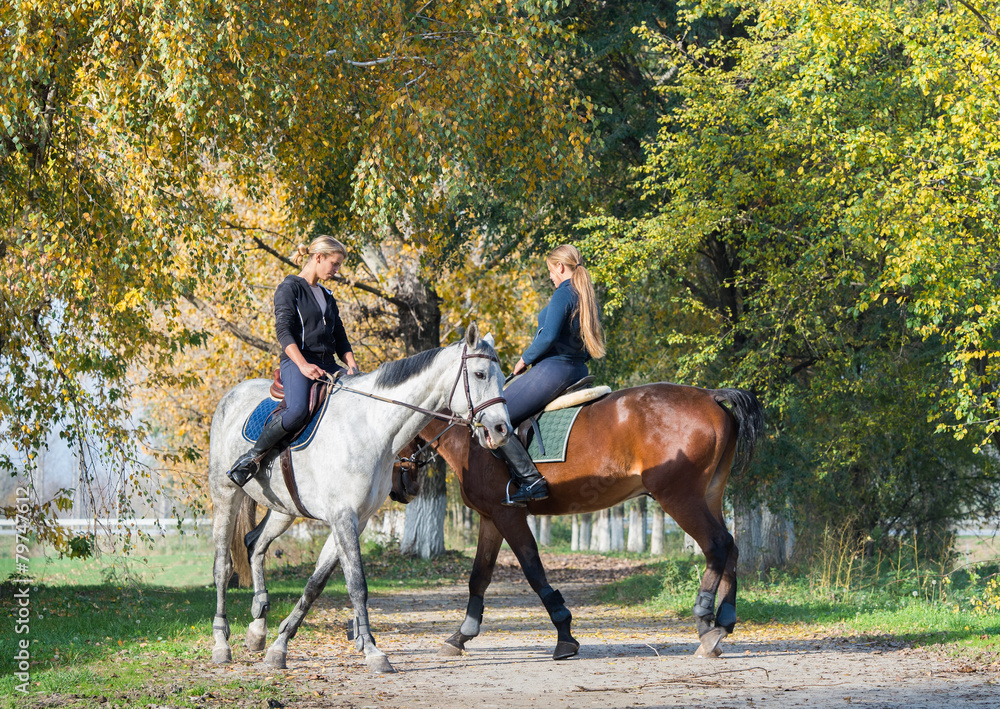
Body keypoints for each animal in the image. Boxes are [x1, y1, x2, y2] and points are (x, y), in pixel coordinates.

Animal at [208, 324, 512, 668]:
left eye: (502, 376)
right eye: (479, 374)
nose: (501, 430)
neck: (372, 427)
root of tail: (233, 394)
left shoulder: (357, 520)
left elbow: (316, 584)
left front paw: (279, 645)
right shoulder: (344, 517)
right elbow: (357, 584)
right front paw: (372, 650)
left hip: (283, 509)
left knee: (255, 543)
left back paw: (258, 627)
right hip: (225, 495)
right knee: (223, 565)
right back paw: (221, 642)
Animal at [394, 382, 760, 660]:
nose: (401, 491)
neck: (473, 444)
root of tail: (711, 396)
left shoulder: (508, 514)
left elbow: (534, 572)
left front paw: (565, 636)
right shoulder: (491, 518)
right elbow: (479, 577)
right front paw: (460, 636)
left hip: (679, 497)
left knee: (717, 545)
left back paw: (706, 626)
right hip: (709, 495)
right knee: (732, 547)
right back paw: (725, 622)